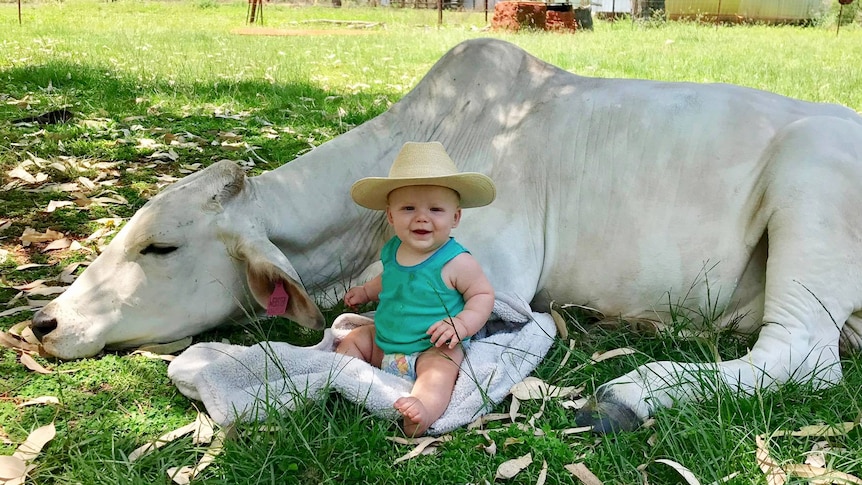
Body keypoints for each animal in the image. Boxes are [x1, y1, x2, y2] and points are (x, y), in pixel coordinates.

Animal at [30, 38, 862, 432]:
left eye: (160, 247)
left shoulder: (499, 289)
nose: (44, 322)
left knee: (803, 354)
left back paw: (632, 390)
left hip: (811, 179)